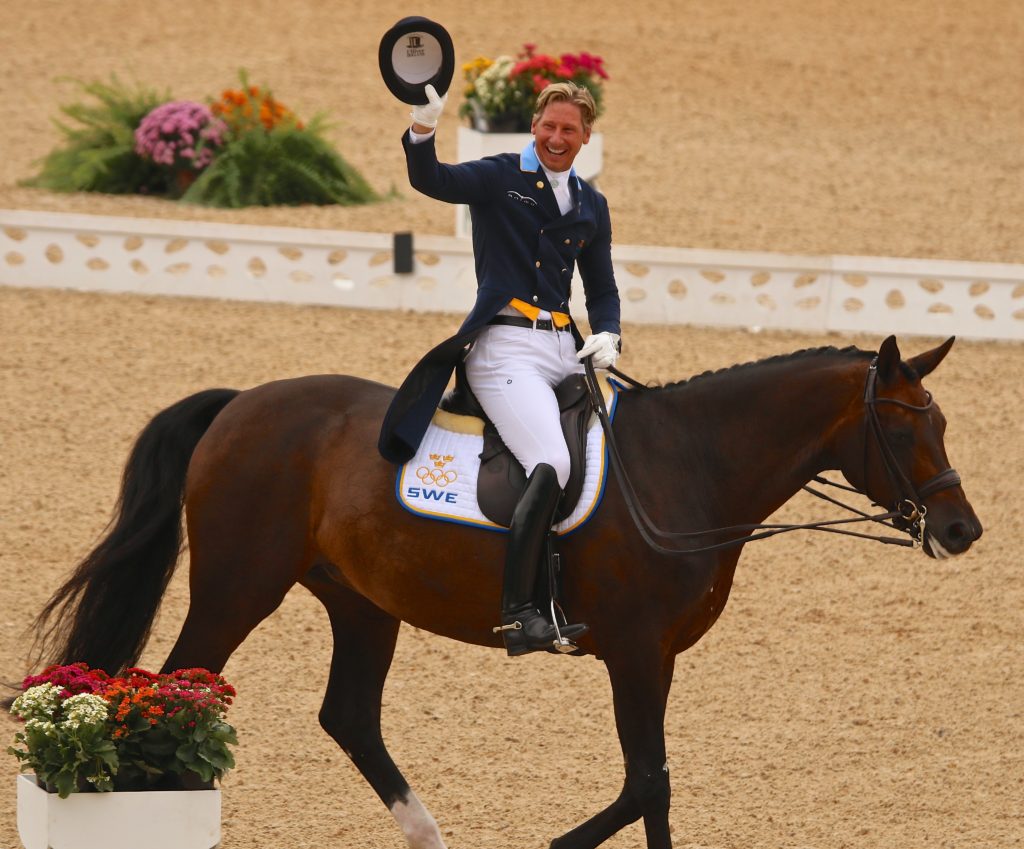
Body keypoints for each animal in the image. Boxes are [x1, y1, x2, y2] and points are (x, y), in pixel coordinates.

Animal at [25, 333, 983, 843]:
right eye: (904, 428)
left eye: (941, 420)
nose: (962, 529)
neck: (690, 466)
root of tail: (239, 404)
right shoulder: (635, 653)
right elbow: (648, 783)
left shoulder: (657, 656)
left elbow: (652, 783)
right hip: (238, 586)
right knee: (170, 689)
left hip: (362, 600)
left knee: (348, 716)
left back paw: (429, 833)